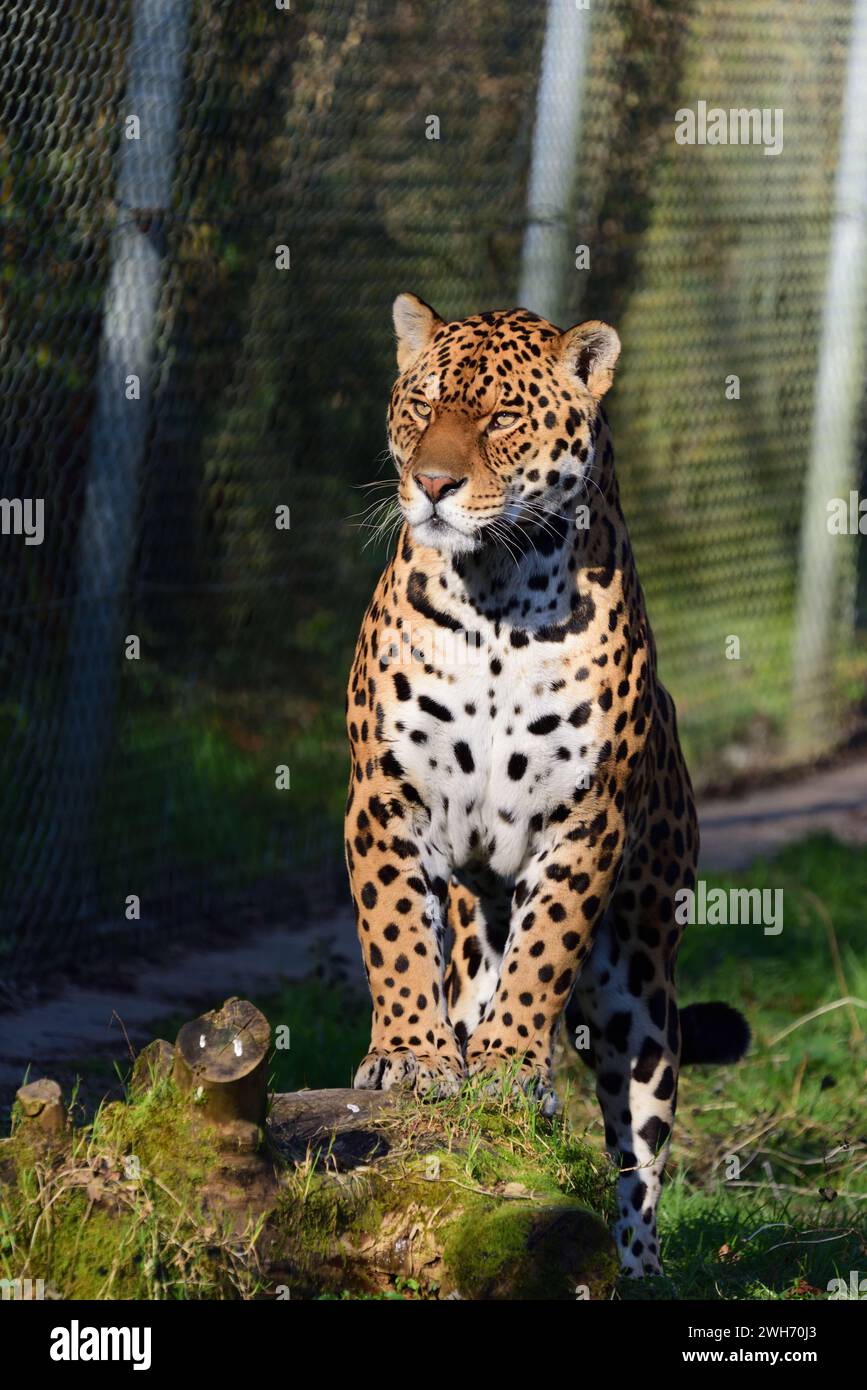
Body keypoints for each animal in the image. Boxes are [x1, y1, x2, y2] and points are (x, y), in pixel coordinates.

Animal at [344, 292, 749, 1276]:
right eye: (421, 407)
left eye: (498, 418)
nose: (433, 484)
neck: (497, 594)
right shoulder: (384, 798)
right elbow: (392, 937)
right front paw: (410, 1057)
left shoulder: (585, 820)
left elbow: (544, 955)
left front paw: (504, 1066)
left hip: (644, 986)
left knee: (639, 1148)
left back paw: (638, 1269)